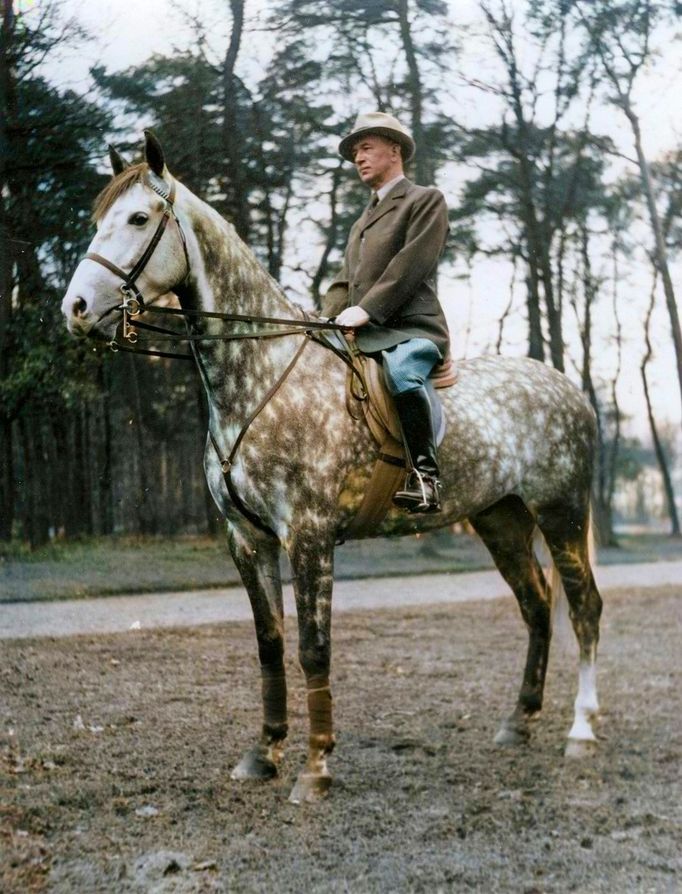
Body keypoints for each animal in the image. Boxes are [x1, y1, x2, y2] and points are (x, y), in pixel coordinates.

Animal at [61, 131, 596, 804]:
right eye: (97, 220)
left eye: (137, 219)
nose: (76, 307)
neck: (263, 374)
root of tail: (569, 388)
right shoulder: (247, 540)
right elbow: (269, 646)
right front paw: (263, 754)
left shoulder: (309, 537)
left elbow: (314, 650)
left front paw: (315, 767)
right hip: (501, 520)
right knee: (536, 605)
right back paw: (518, 722)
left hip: (561, 514)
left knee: (583, 607)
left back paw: (581, 731)